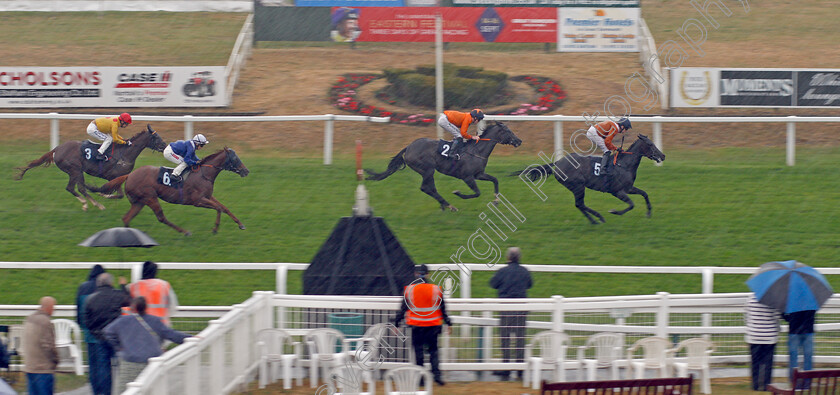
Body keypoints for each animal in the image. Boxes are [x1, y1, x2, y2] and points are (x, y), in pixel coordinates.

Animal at [14, 124, 167, 212]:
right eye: (156, 138)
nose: (166, 146)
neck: (124, 154)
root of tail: (57, 149)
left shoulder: (119, 178)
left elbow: (117, 193)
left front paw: (103, 194)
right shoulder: (113, 177)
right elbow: (118, 194)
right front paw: (103, 195)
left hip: (75, 172)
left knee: (75, 188)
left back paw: (89, 204)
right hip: (75, 170)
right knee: (76, 188)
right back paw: (93, 204)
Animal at [89, 148, 253, 235]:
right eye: (235, 159)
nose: (246, 171)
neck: (204, 174)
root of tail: (129, 175)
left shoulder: (208, 196)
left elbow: (224, 208)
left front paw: (241, 224)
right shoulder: (198, 201)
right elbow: (218, 208)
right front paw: (215, 229)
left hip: (139, 202)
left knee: (126, 218)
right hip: (150, 197)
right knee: (161, 217)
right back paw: (185, 231)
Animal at [366, 121, 520, 212]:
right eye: (508, 131)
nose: (519, 141)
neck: (477, 151)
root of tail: (408, 147)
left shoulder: (479, 174)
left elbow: (495, 180)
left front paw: (496, 201)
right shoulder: (467, 177)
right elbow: (477, 193)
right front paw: (458, 193)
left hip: (427, 171)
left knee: (430, 188)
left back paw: (445, 205)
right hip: (427, 169)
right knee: (426, 187)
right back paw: (449, 205)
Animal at [520, 135, 664, 224]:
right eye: (651, 144)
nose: (663, 155)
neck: (623, 165)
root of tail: (558, 163)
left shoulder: (628, 188)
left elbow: (644, 194)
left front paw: (649, 213)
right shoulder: (617, 191)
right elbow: (631, 204)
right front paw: (614, 211)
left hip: (577, 187)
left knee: (579, 205)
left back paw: (594, 220)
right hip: (578, 186)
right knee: (580, 204)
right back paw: (599, 218)